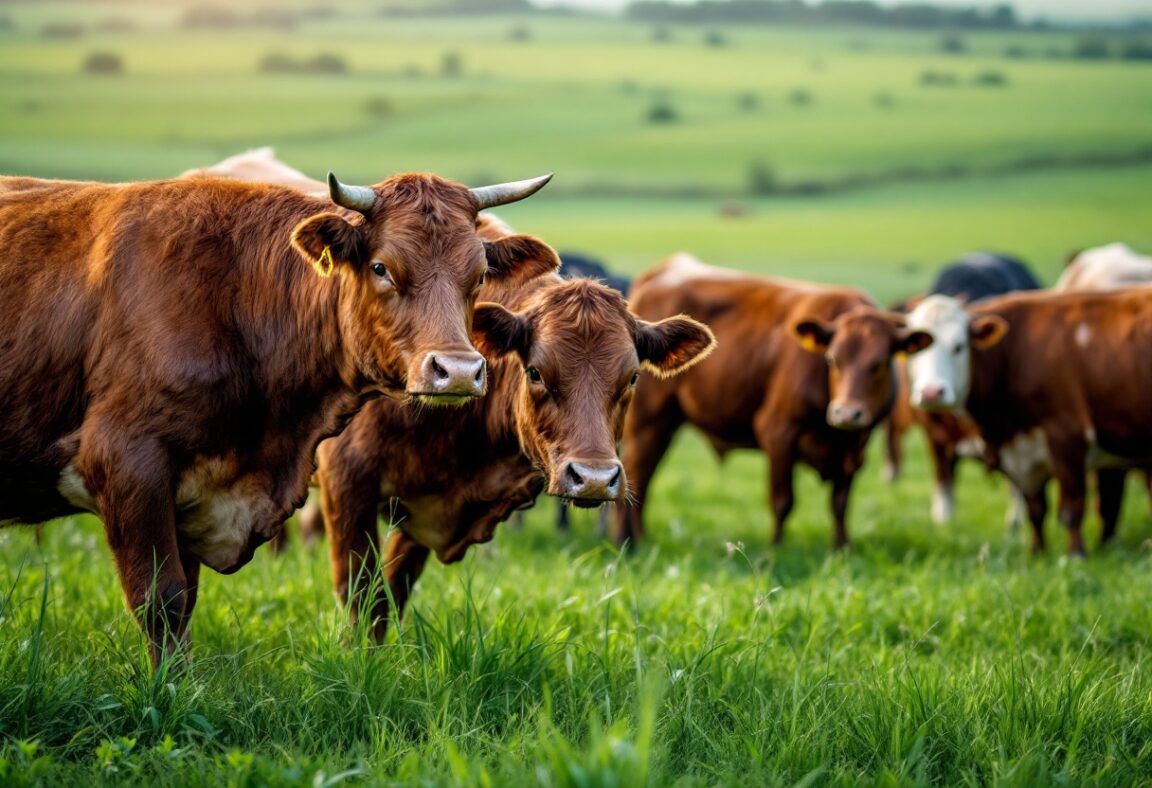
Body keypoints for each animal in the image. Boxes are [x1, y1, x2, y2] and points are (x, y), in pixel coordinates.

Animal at [0, 169, 557, 663]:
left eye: (478, 275)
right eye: (381, 267)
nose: (459, 371)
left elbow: (186, 598)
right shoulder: (126, 461)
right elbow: (162, 598)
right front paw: (169, 691)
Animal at [617, 256, 930, 548]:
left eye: (881, 363)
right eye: (832, 359)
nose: (846, 413)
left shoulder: (854, 450)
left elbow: (839, 504)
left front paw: (841, 546)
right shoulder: (779, 434)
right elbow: (782, 502)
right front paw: (775, 548)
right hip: (648, 423)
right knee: (638, 474)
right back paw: (631, 540)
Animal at [903, 289, 1152, 552]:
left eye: (959, 346)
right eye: (914, 351)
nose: (931, 392)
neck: (1016, 354)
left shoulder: (1068, 436)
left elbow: (1072, 508)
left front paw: (1075, 553)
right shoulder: (1024, 454)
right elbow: (1036, 510)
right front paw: (1037, 552)